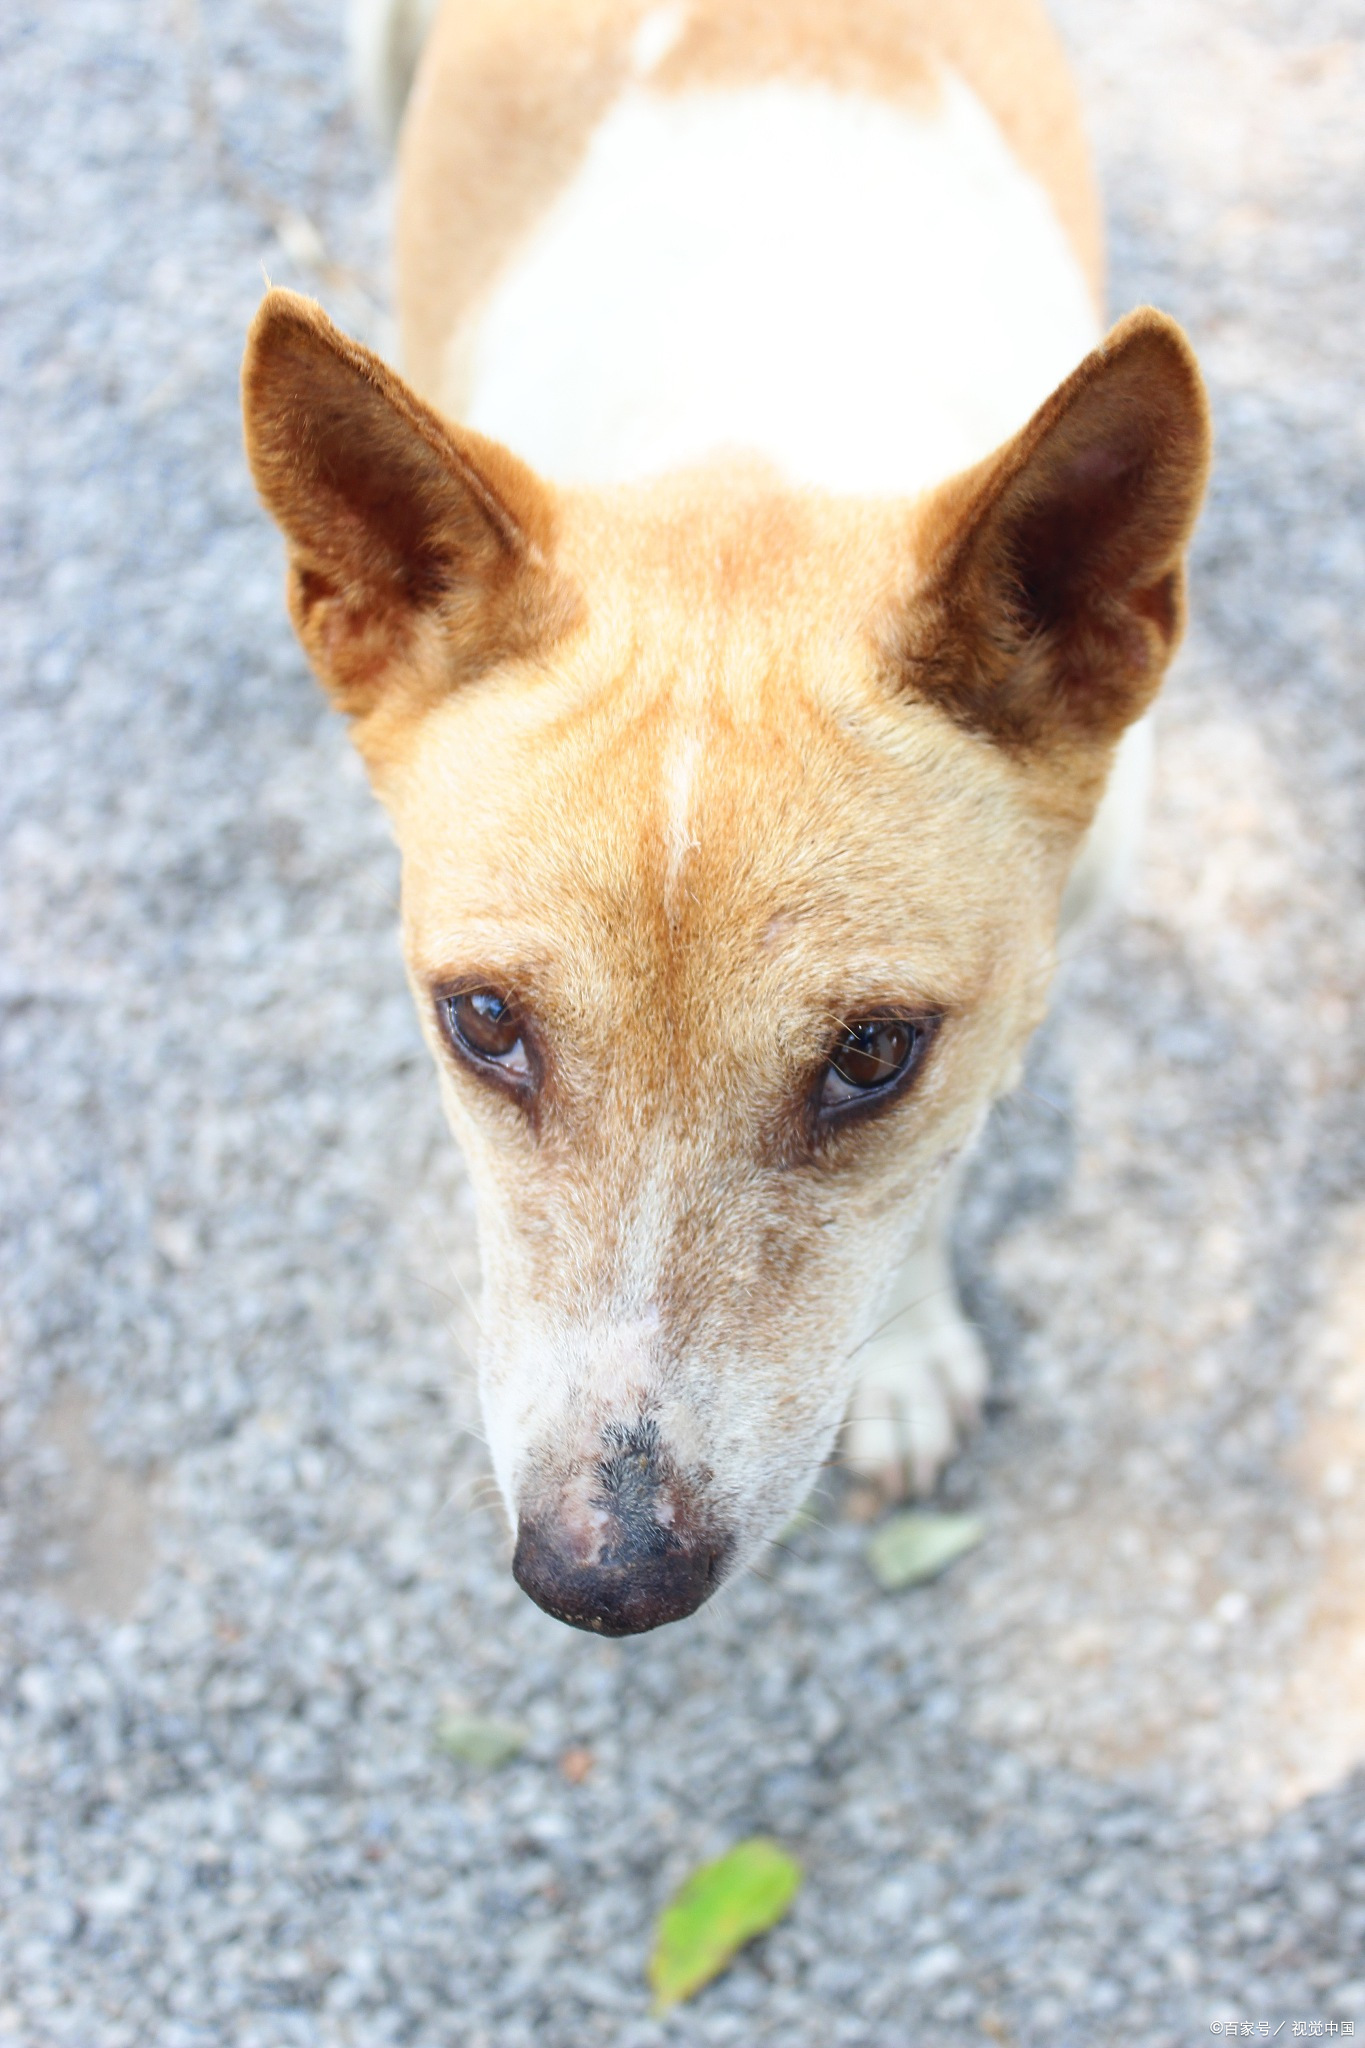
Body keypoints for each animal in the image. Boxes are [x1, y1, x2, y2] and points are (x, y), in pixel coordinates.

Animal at [240, 0, 1211, 1630]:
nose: (601, 1575)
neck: (751, 424)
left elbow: (935, 1180)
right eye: (482, 1023)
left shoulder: (1024, 982)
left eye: (874, 1054)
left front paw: (903, 1356)